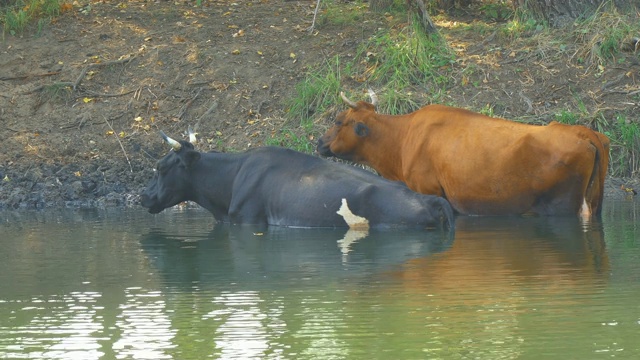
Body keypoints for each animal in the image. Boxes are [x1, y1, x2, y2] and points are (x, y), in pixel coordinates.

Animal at [318, 91, 608, 218]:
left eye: (338, 120)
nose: (319, 142)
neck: (401, 141)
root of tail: (583, 131)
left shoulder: (429, 190)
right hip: (594, 200)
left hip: (562, 205)